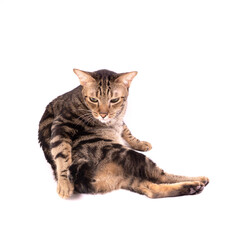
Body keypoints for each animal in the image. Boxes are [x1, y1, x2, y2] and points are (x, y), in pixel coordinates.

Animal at [38, 69, 209, 199]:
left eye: (114, 100)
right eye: (94, 99)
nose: (103, 114)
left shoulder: (118, 119)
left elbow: (126, 130)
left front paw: (139, 142)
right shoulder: (61, 124)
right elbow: (61, 154)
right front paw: (64, 183)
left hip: (129, 177)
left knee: (151, 190)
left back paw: (192, 187)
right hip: (129, 155)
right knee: (159, 176)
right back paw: (199, 180)